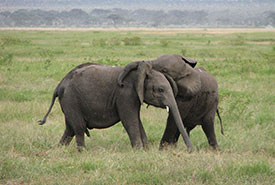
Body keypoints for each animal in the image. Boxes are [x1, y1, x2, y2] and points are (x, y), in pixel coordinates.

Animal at [38, 61, 194, 151]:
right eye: (160, 90)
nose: (190, 150)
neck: (140, 74)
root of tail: (59, 85)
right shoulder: (125, 95)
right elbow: (129, 120)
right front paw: (138, 151)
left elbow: (137, 120)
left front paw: (146, 151)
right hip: (71, 99)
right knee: (78, 127)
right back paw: (82, 152)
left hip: (68, 101)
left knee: (70, 128)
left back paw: (59, 150)